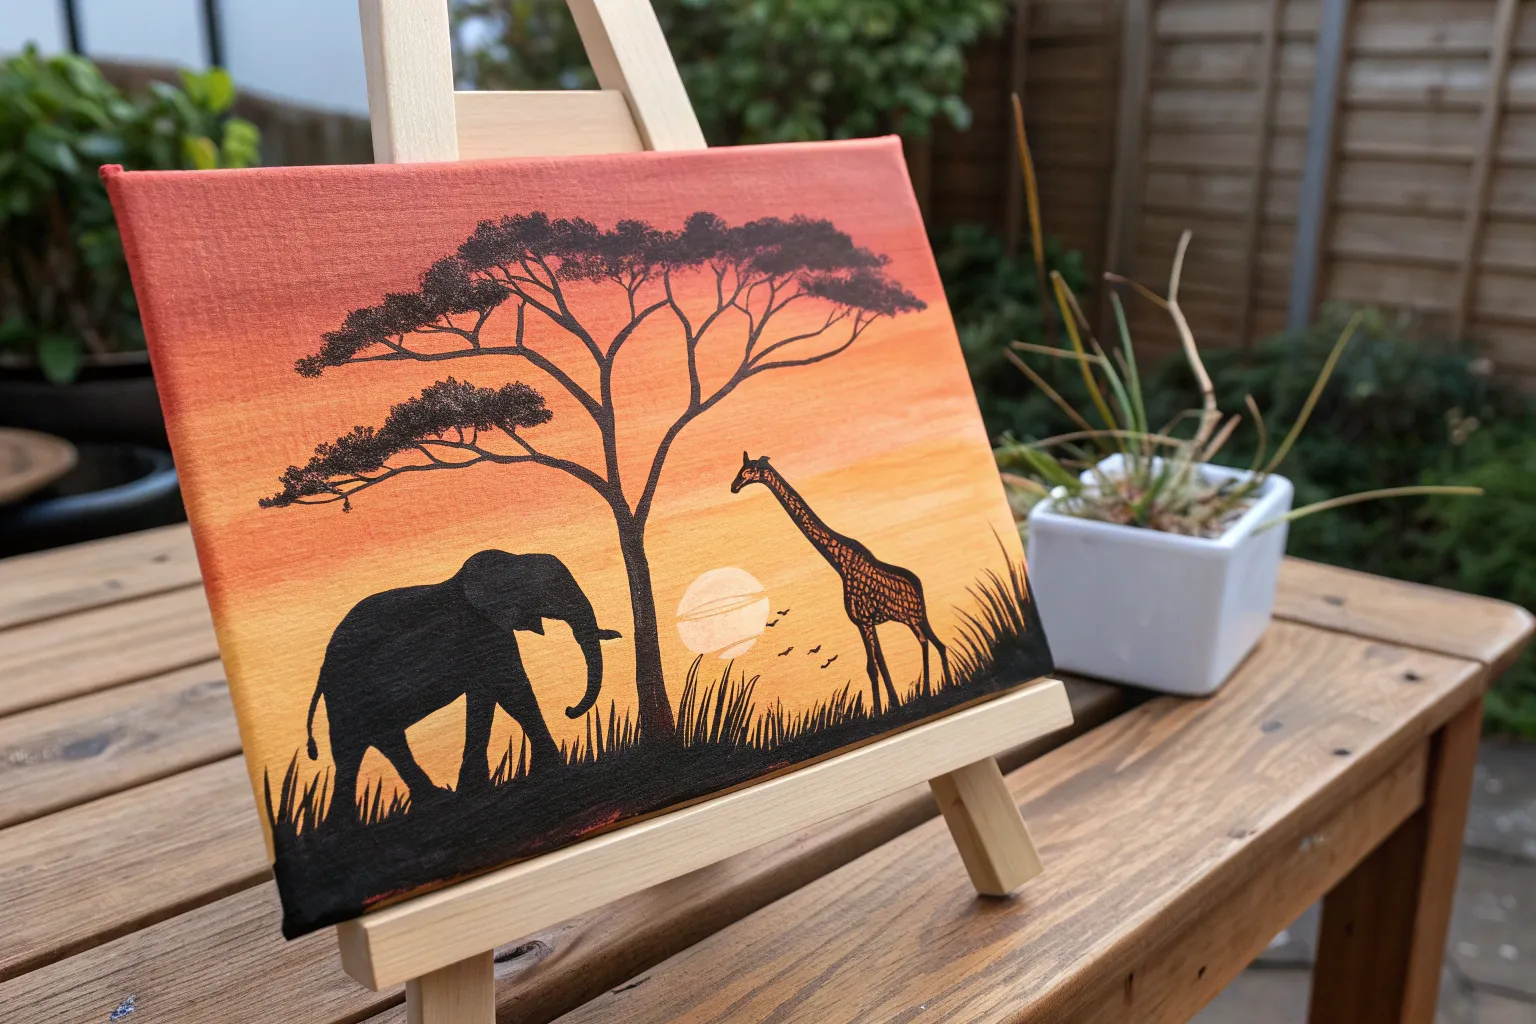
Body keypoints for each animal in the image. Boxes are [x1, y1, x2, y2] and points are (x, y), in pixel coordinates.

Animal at [303, 550, 621, 815]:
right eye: (552, 591)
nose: (568, 710)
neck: (511, 558)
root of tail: (322, 669)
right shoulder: (479, 629)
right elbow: (503, 689)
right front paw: (484, 789)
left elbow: (504, 692)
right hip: (346, 692)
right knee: (351, 749)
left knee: (385, 739)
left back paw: (435, 801)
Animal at [730, 452, 950, 715]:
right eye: (740, 469)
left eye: (749, 470)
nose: (733, 487)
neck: (842, 565)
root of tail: (918, 584)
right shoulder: (863, 622)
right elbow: (877, 664)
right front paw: (889, 706)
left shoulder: (864, 620)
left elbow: (875, 666)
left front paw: (883, 710)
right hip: (910, 617)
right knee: (929, 642)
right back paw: (931, 690)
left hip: (915, 615)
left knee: (934, 643)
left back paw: (942, 687)